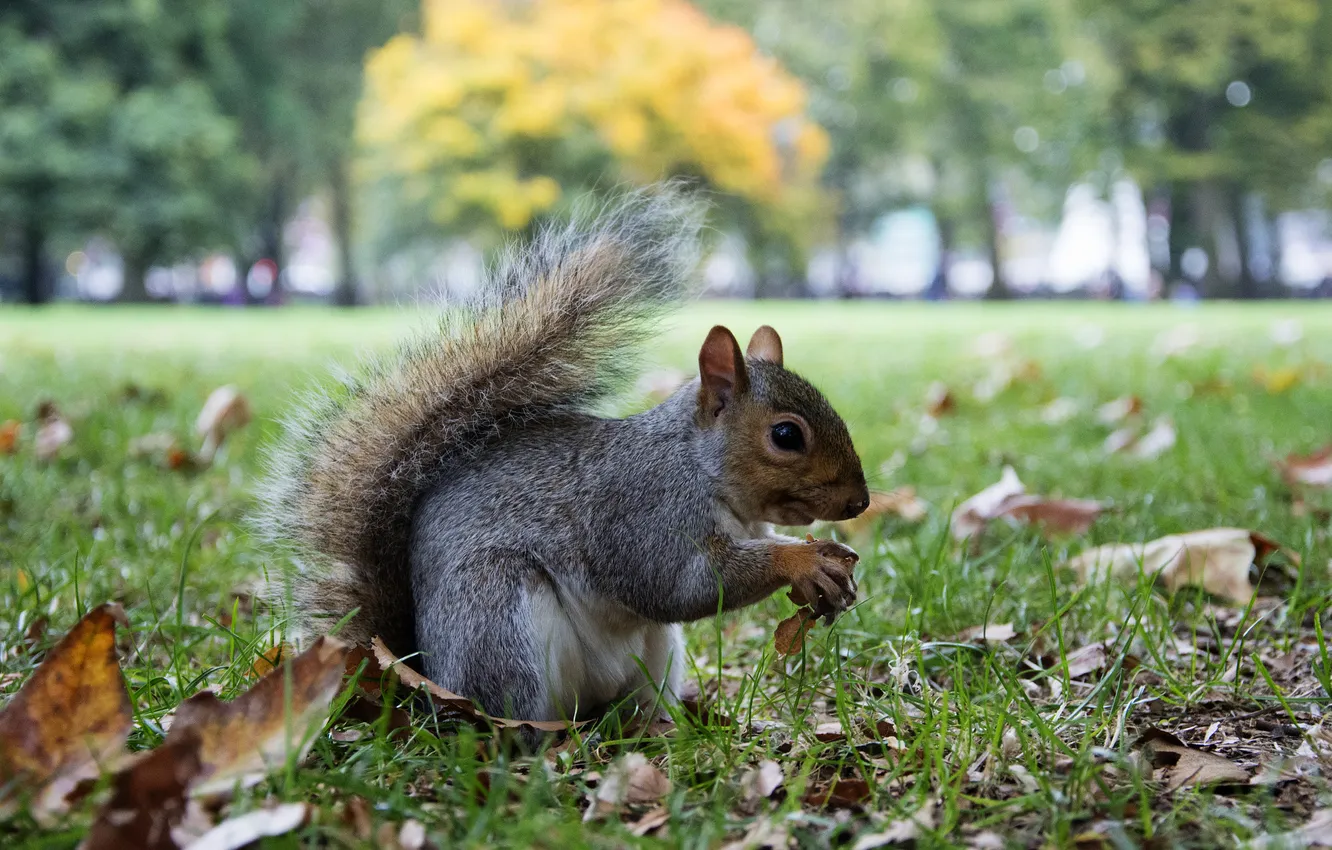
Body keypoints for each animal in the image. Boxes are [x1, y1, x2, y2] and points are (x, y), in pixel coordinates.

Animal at [258, 186, 870, 725]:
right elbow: (679, 585)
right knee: (515, 714)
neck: (702, 471)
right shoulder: (640, 511)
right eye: (786, 436)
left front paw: (822, 568)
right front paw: (803, 563)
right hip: (497, 615)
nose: (860, 503)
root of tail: (421, 675)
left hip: (651, 658)